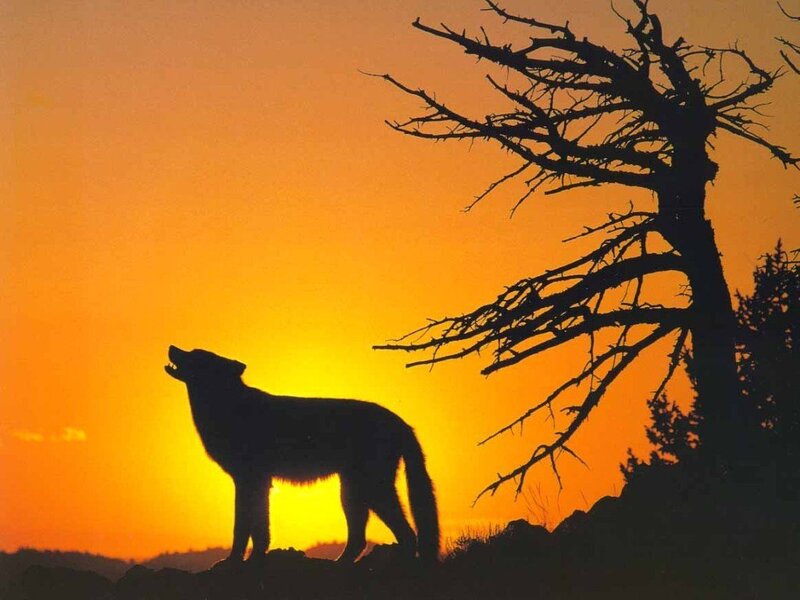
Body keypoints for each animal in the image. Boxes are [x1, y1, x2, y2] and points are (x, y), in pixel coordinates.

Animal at [164, 345, 439, 563]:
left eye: (196, 355)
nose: (171, 346)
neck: (230, 408)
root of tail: (401, 423)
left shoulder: (249, 480)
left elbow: (244, 527)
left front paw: (236, 562)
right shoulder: (255, 481)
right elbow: (258, 528)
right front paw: (253, 559)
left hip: (370, 490)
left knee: (406, 534)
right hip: (353, 492)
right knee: (363, 539)